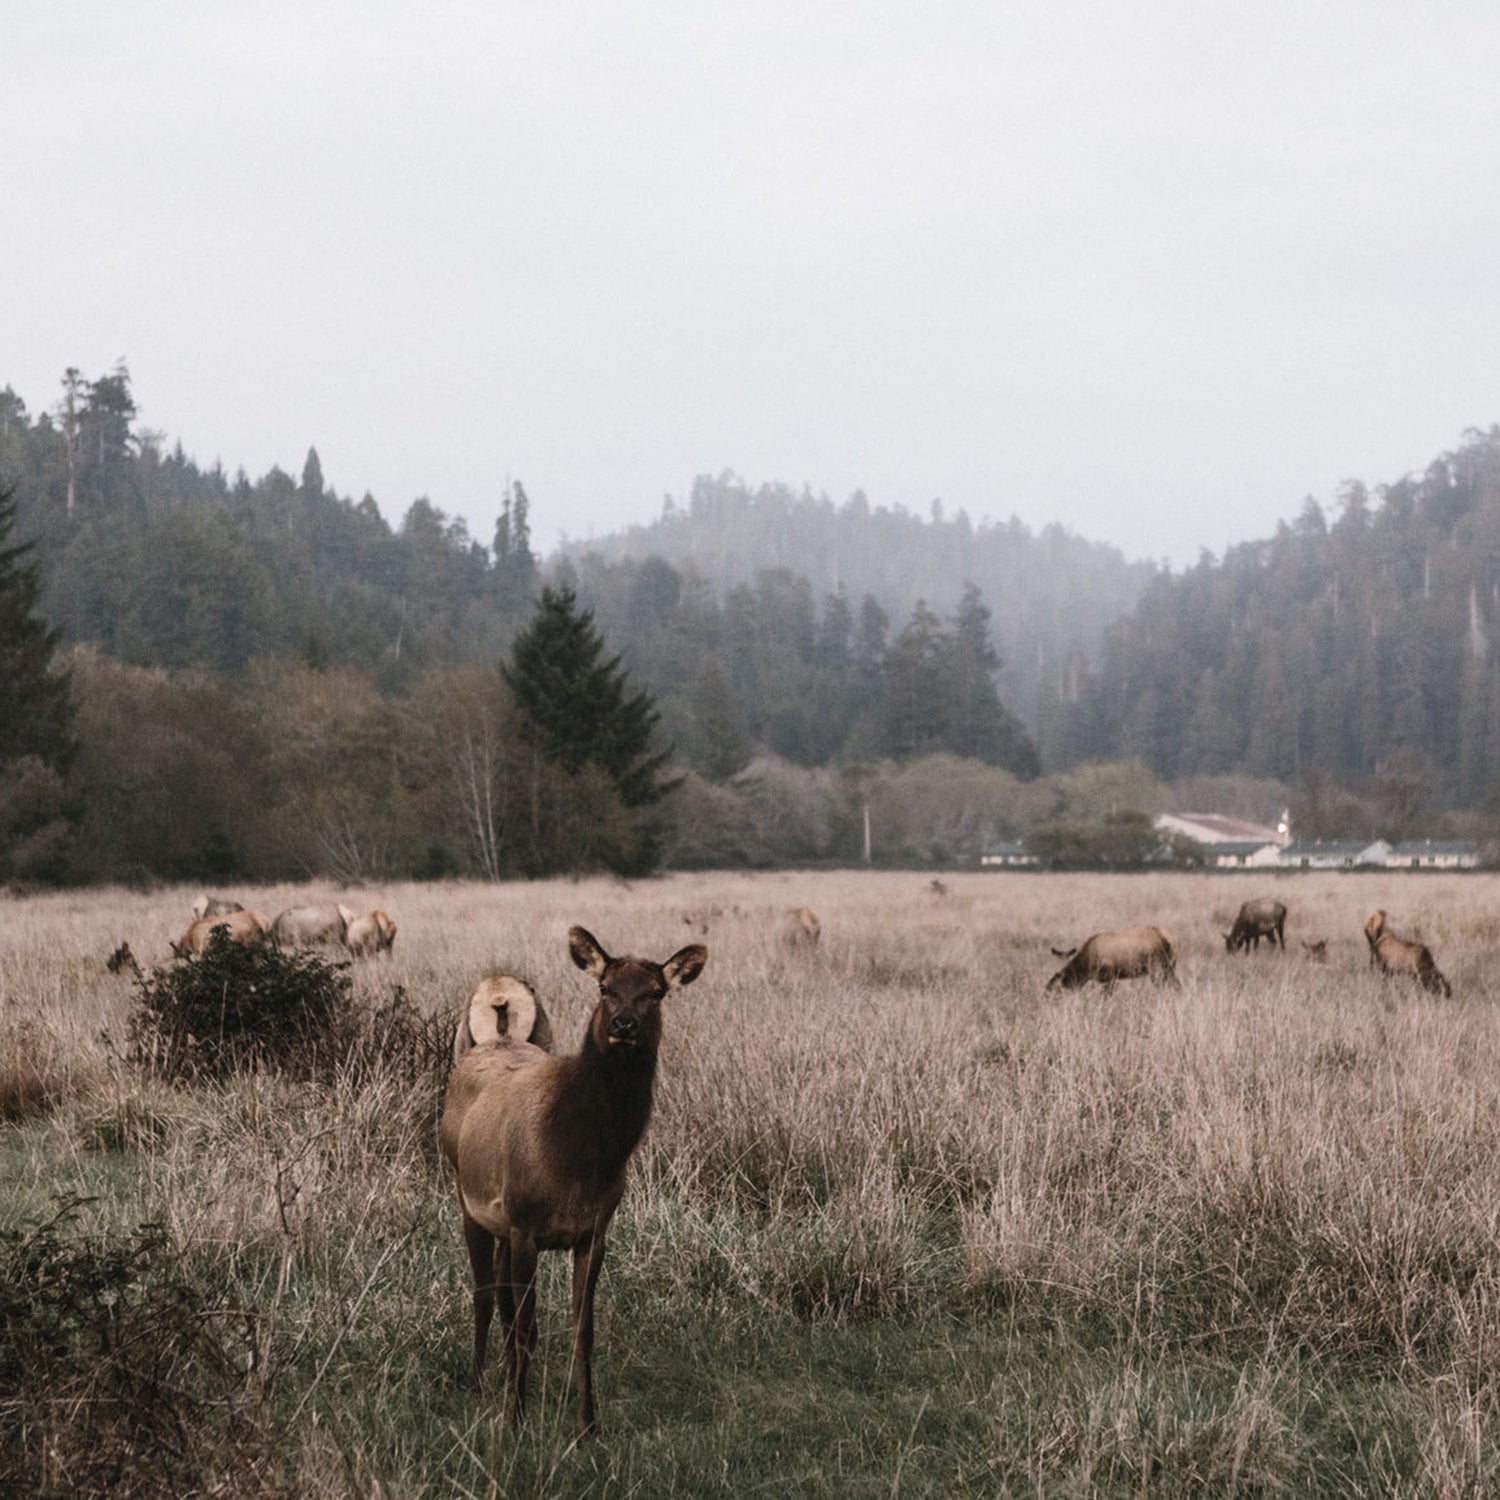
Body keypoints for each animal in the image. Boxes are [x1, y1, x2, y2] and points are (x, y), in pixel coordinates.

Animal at [438, 918, 708, 1434]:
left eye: (657, 992)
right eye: (605, 987)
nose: (624, 1025)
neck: (578, 1158)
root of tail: (493, 1038)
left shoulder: (593, 1232)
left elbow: (582, 1330)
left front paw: (587, 1425)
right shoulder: (526, 1225)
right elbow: (524, 1325)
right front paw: (516, 1421)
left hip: (503, 1223)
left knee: (500, 1293)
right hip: (468, 1199)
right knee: (484, 1293)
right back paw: (479, 1381)